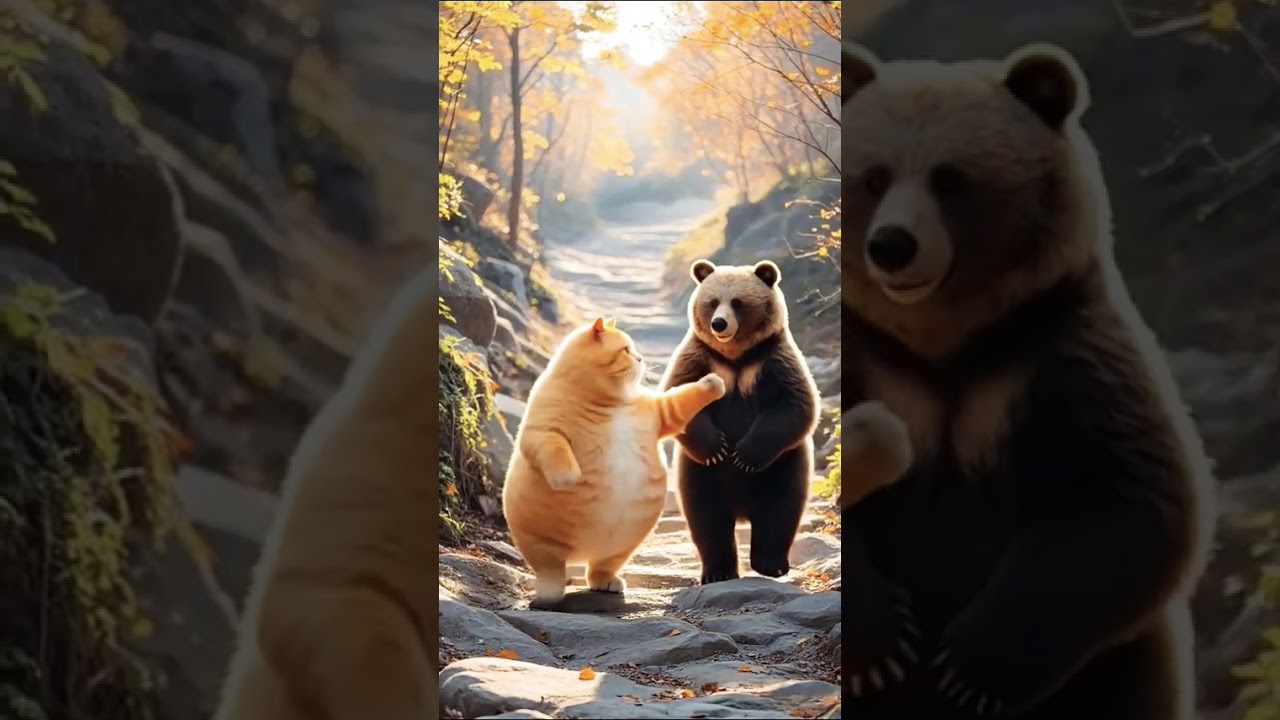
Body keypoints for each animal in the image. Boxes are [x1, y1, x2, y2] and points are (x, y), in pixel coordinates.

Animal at [660, 259, 820, 584]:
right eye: (712, 302)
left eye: (738, 302)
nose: (719, 324)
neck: (736, 359)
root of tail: (742, 511)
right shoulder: (699, 358)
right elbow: (680, 395)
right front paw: (717, 448)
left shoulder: (773, 360)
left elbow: (795, 405)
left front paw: (743, 455)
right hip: (697, 473)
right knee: (707, 516)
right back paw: (718, 571)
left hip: (784, 464)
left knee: (780, 508)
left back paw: (770, 564)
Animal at [837, 40, 1216, 720]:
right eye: (874, 178)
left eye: (951, 178)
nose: (891, 246)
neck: (945, 351)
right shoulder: (869, 360)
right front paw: (880, 646)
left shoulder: (1056, 353)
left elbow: (1125, 499)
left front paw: (970, 668)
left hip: (1122, 669)